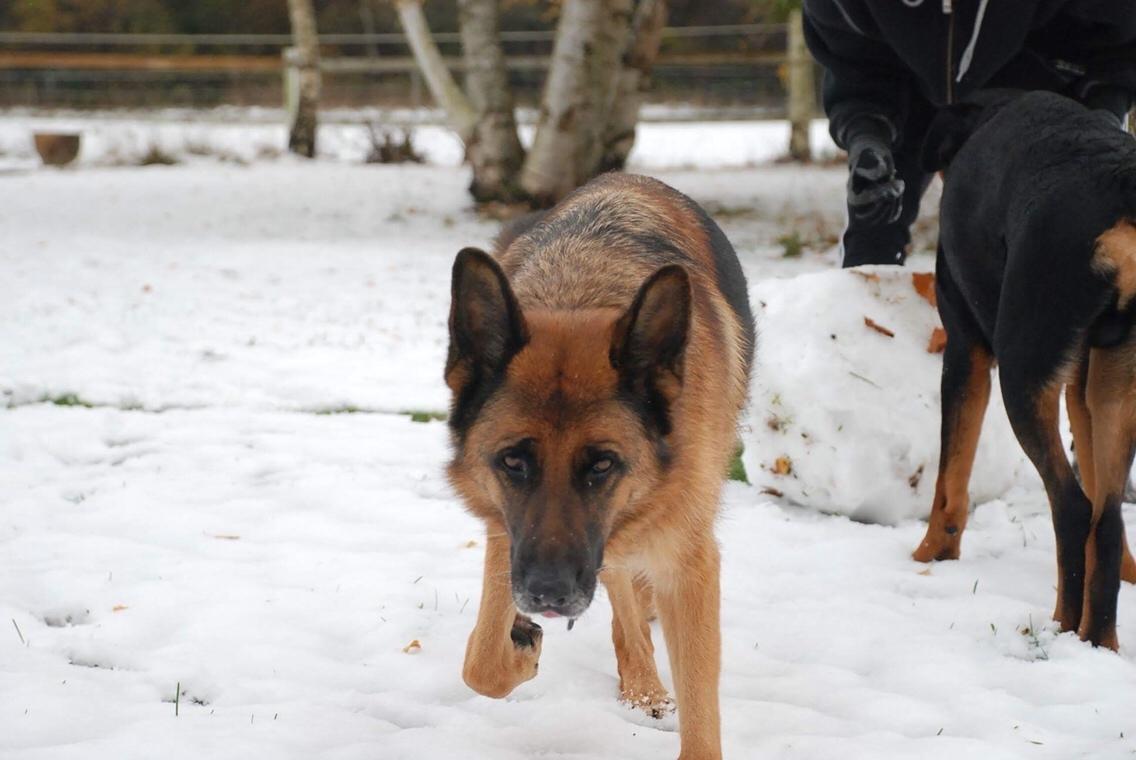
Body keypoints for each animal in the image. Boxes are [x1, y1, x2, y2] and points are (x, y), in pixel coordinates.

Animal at [443, 173, 754, 758]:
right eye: (513, 462)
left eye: (603, 465)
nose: (549, 595)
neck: (579, 294)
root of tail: (628, 177)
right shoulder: (508, 534)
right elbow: (482, 665)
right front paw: (517, 646)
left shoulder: (689, 563)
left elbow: (701, 708)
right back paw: (640, 680)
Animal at [913, 89, 1136, 645]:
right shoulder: (1082, 380)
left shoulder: (965, 349)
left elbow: (950, 480)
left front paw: (929, 556)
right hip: (1117, 382)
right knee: (1107, 520)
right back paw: (1097, 642)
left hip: (1021, 371)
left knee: (1072, 509)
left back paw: (1061, 626)